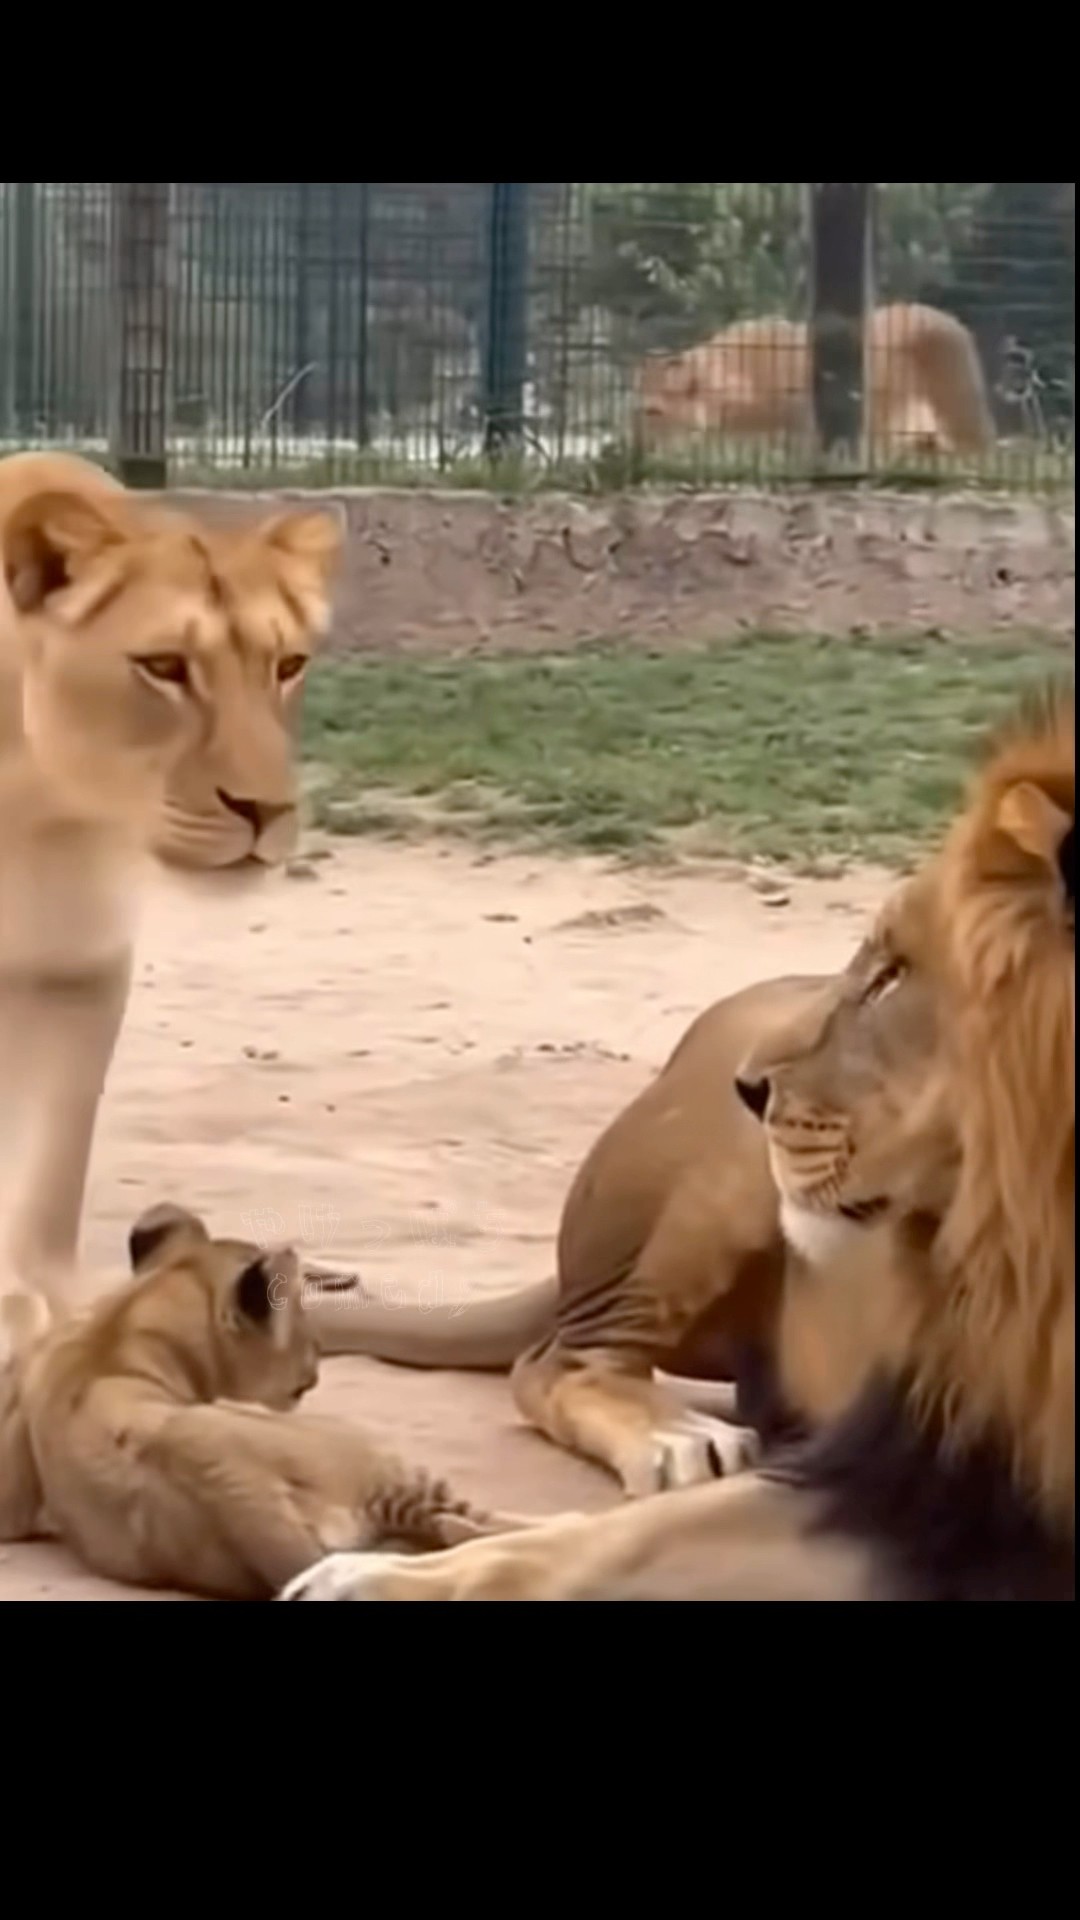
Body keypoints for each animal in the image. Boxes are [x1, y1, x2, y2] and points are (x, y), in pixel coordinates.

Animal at [0, 451, 340, 1345]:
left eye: (286, 665)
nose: (266, 811)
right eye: (162, 667)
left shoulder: (80, 969)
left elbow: (54, 1157)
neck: (43, 807)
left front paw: (49, 1299)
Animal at [0, 1203, 530, 1600]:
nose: (319, 1353)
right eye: (302, 1318)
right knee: (478, 1526)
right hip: (379, 1460)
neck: (119, 1329)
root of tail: (234, 1487)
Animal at [283, 686, 1074, 1600]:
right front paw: (373, 1577)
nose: (752, 1087)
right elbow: (603, 1542)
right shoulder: (919, 1473)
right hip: (710, 1197)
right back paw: (676, 1436)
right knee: (557, 1362)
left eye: (893, 976)